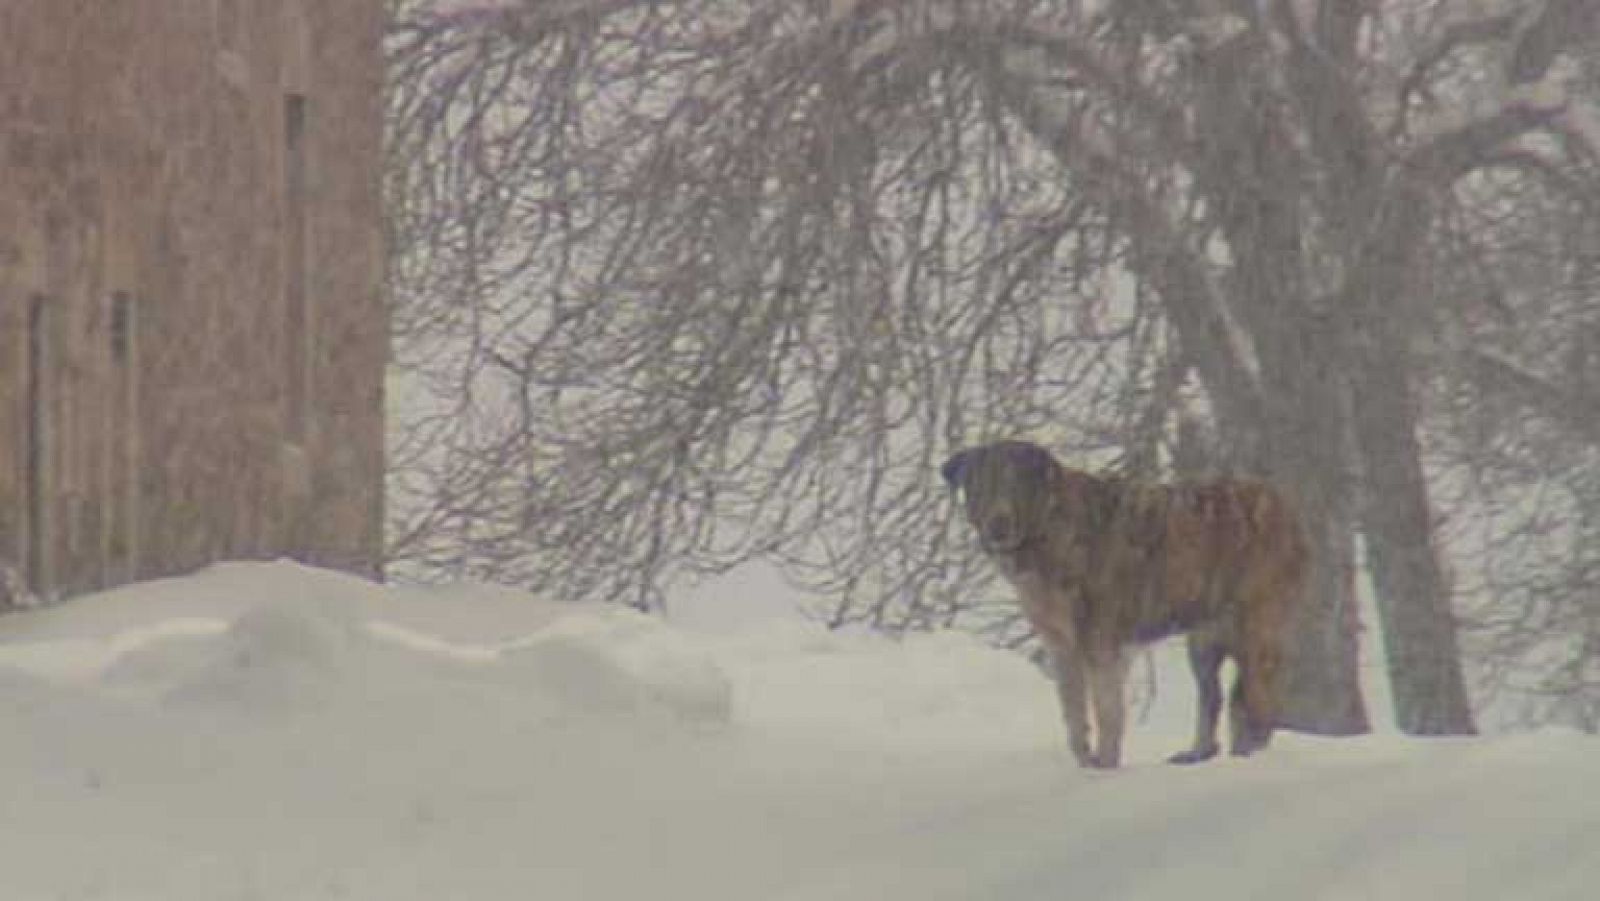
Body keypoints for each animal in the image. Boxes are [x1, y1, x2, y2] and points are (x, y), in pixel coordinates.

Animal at [940, 438, 1305, 768]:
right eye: (981, 485)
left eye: (1017, 484)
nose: (998, 525)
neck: (1048, 529)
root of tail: (1282, 506)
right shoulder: (1062, 647)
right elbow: (1074, 715)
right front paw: (1086, 763)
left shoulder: (1101, 644)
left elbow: (1108, 712)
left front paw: (1105, 767)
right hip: (1203, 639)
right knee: (1214, 699)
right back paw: (1199, 754)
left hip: (1256, 632)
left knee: (1257, 704)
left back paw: (1249, 758)